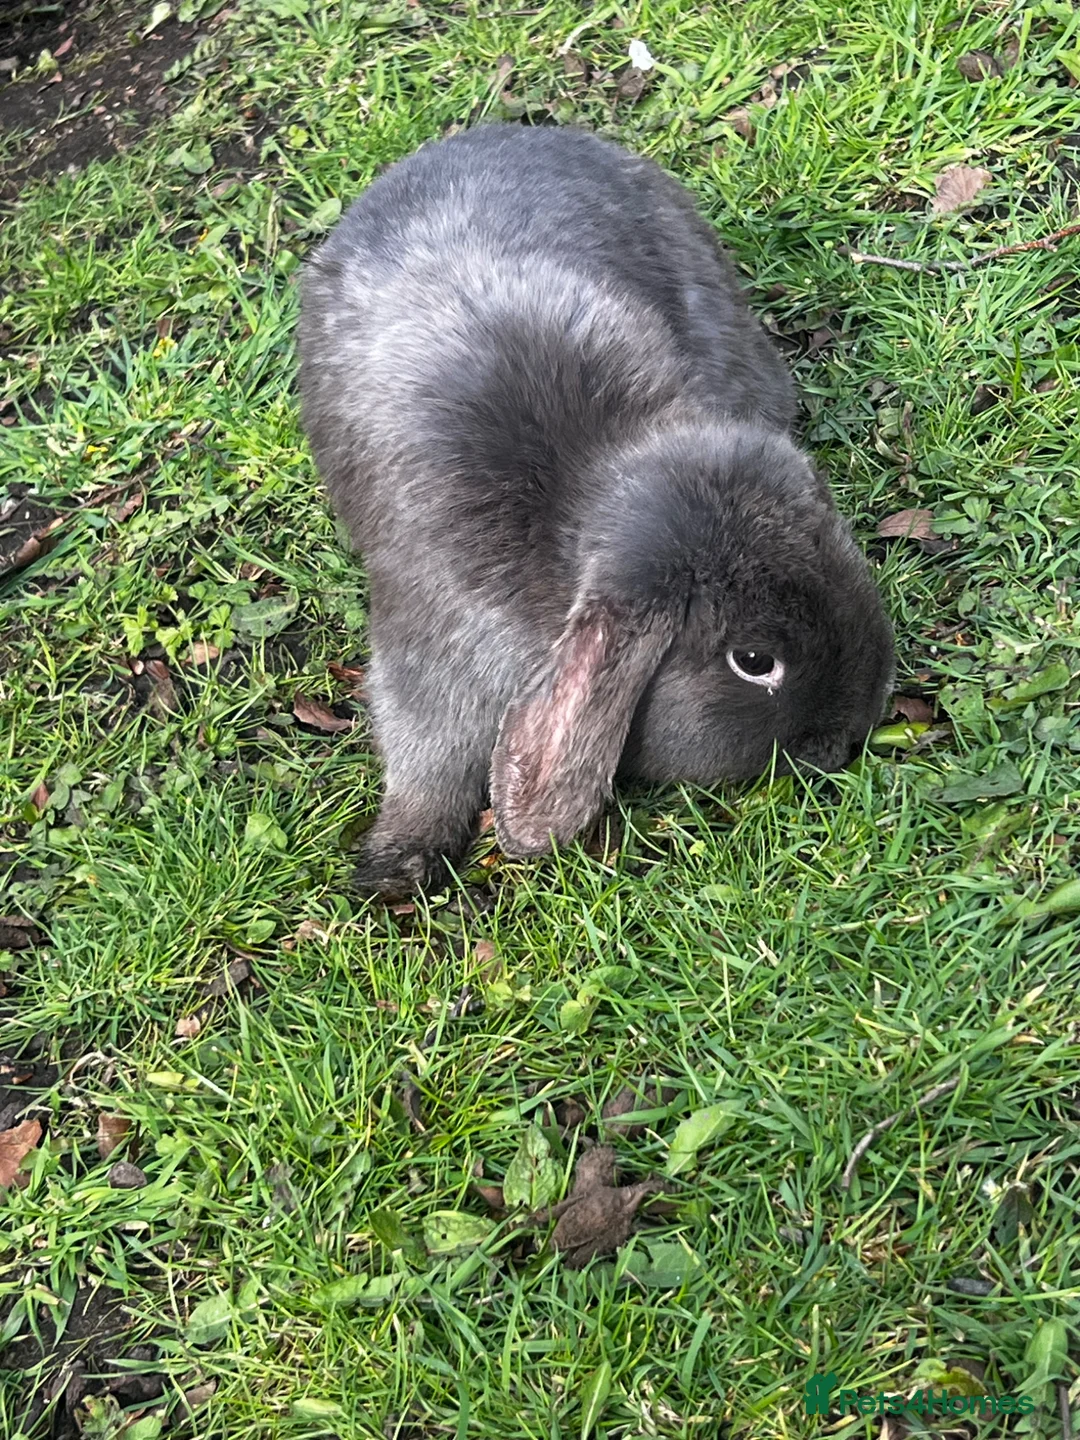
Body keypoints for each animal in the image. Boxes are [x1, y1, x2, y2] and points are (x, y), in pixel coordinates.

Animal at [297, 123, 895, 899]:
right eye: (754, 661)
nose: (853, 733)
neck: (574, 513)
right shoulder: (430, 649)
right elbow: (424, 761)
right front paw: (394, 865)